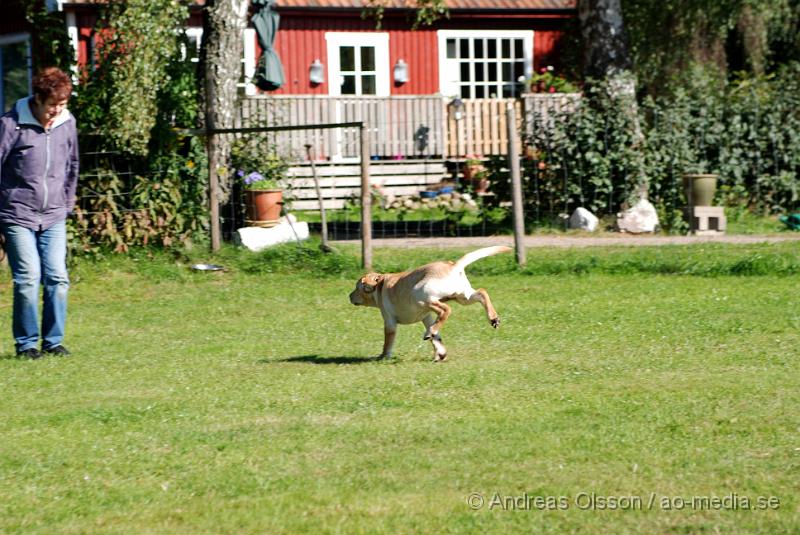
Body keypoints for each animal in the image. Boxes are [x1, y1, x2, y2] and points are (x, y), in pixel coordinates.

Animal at [350, 245, 512, 362]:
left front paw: (383, 356)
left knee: (446, 310)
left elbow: (388, 341)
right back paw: (493, 318)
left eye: (357, 288)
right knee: (482, 293)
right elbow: (437, 340)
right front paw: (440, 354)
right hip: (463, 297)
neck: (380, 284)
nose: (349, 296)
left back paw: (431, 331)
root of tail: (454, 266)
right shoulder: (426, 317)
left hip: (420, 295)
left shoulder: (389, 321)